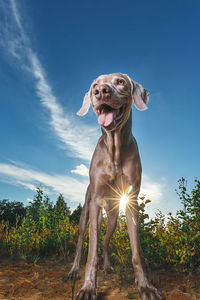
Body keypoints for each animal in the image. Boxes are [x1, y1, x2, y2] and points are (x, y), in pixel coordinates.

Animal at [69, 73, 162, 300]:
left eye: (120, 81)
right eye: (95, 84)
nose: (100, 91)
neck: (114, 149)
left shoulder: (131, 201)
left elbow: (136, 251)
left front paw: (145, 286)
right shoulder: (94, 203)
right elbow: (90, 252)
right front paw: (88, 287)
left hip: (112, 217)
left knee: (105, 241)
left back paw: (108, 266)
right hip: (86, 213)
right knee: (81, 242)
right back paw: (74, 270)